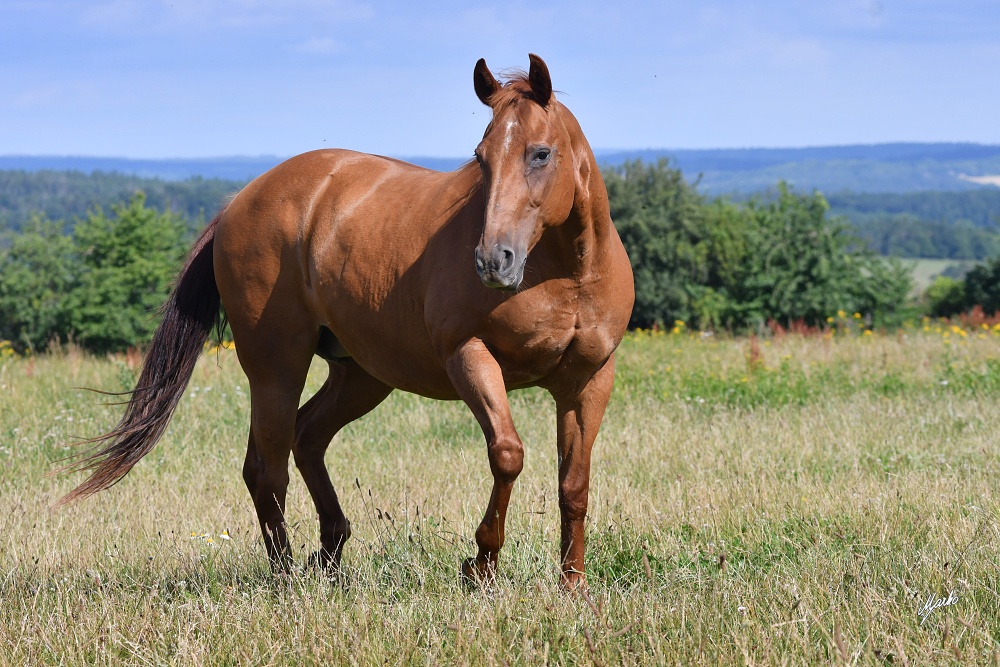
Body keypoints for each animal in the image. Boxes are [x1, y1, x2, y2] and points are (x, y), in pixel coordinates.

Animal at [64, 56, 632, 588]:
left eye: (541, 153)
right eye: (480, 158)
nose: (494, 262)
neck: (566, 272)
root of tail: (239, 202)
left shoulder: (588, 380)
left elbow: (573, 483)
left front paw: (572, 586)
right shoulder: (469, 356)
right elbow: (508, 455)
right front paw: (482, 566)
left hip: (360, 375)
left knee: (306, 438)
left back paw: (330, 553)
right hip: (277, 368)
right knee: (267, 467)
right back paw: (287, 577)